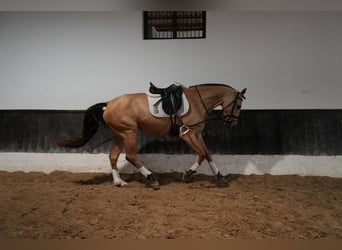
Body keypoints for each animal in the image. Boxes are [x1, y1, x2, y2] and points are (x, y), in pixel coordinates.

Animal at [57, 83, 247, 188]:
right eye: (238, 106)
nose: (232, 124)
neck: (197, 101)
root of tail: (109, 104)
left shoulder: (197, 134)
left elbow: (207, 154)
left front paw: (220, 177)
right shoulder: (187, 134)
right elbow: (201, 154)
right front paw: (188, 173)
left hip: (120, 135)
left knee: (113, 156)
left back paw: (119, 182)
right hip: (130, 132)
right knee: (131, 156)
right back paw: (151, 178)